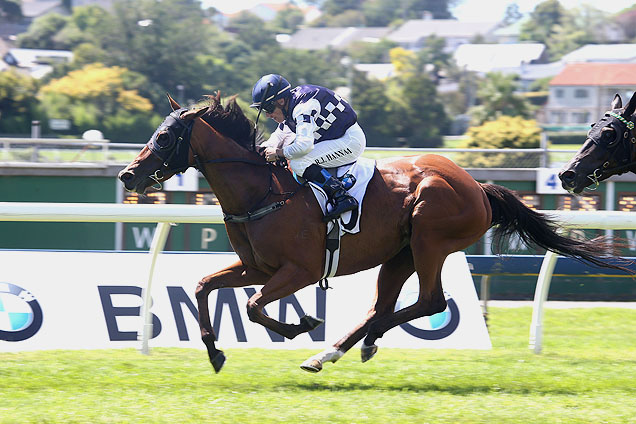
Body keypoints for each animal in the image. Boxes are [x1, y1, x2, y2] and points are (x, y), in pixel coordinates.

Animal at [118, 93, 628, 374]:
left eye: (165, 137)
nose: (127, 175)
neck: (263, 191)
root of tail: (477, 187)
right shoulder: (255, 266)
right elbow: (205, 286)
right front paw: (214, 352)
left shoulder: (299, 270)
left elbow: (255, 306)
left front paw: (301, 324)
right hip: (399, 254)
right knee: (382, 306)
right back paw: (334, 352)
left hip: (429, 239)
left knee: (430, 302)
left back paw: (352, 343)